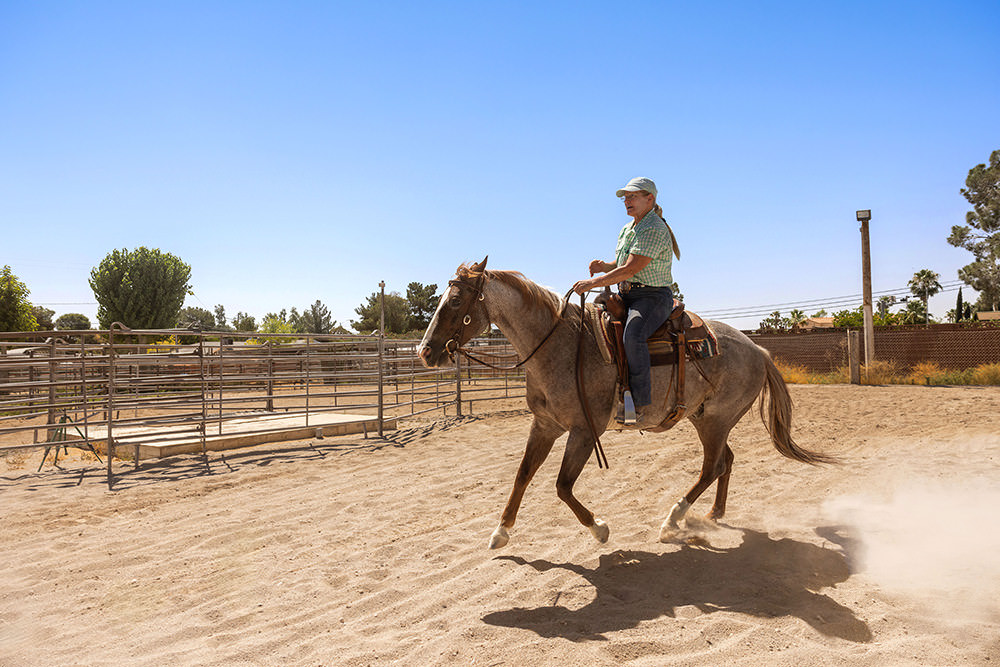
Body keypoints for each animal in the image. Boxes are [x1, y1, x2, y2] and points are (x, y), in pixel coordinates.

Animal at [416, 258, 836, 552]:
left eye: (455, 300)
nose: (424, 351)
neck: (558, 345)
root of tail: (758, 350)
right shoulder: (545, 425)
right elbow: (522, 476)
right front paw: (500, 532)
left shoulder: (585, 430)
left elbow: (562, 486)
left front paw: (599, 529)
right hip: (705, 418)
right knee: (725, 462)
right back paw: (712, 515)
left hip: (716, 419)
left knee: (712, 466)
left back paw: (673, 521)